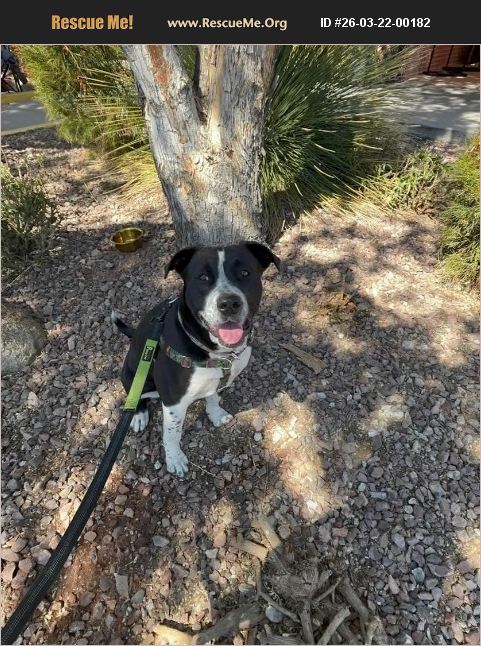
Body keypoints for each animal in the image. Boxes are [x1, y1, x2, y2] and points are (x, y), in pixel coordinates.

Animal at [112, 242, 280, 477]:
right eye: (203, 277)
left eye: (245, 273)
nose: (229, 303)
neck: (215, 350)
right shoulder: (173, 401)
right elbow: (172, 433)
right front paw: (174, 459)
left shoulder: (220, 379)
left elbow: (213, 398)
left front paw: (216, 414)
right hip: (132, 374)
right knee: (135, 396)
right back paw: (139, 415)